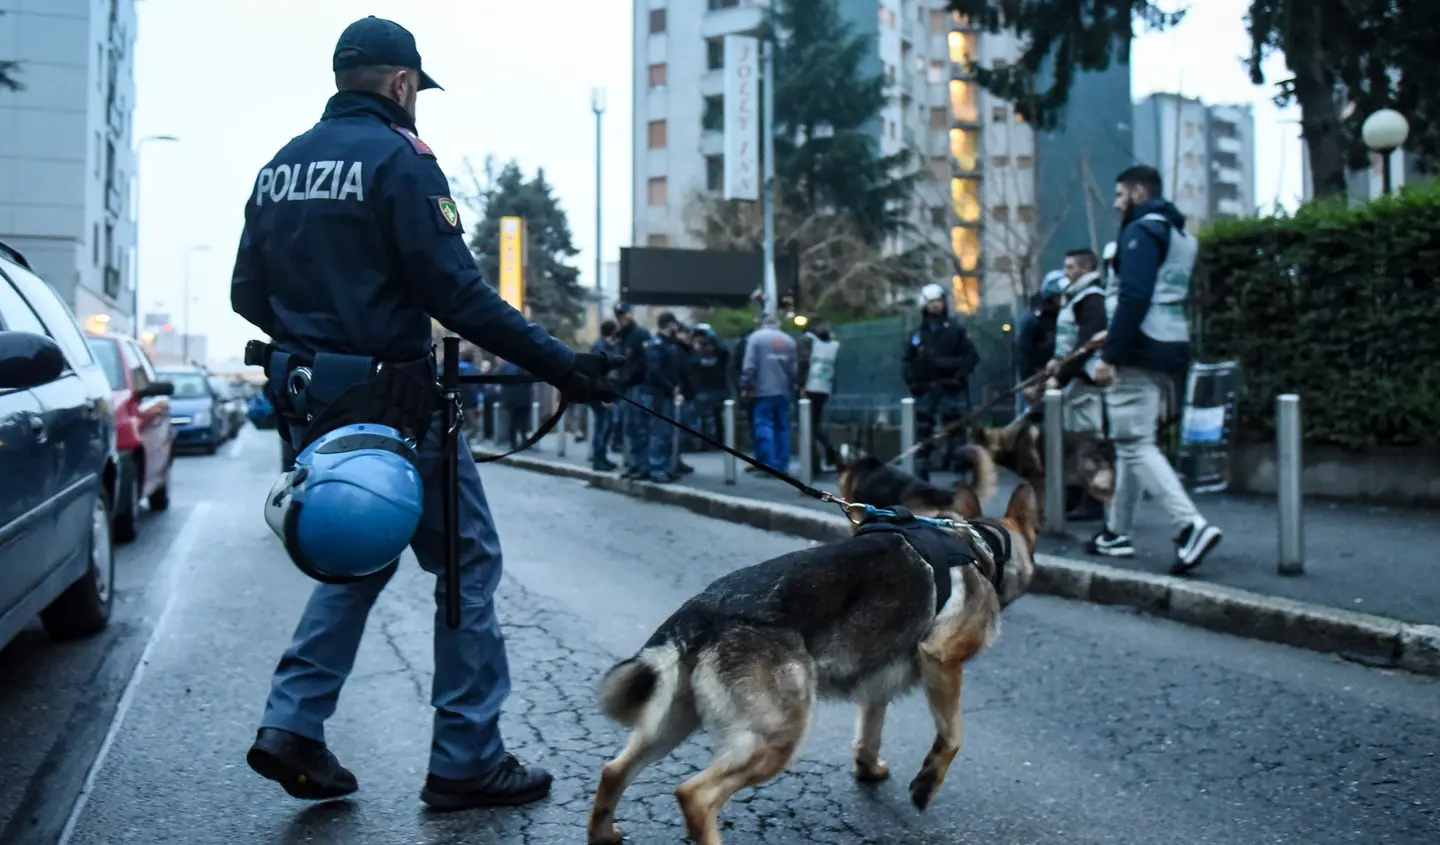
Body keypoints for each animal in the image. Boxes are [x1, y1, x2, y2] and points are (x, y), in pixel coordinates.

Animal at [581, 463, 1036, 845]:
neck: (981, 543)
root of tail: (701, 611)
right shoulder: (941, 660)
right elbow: (953, 735)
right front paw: (925, 785)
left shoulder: (877, 682)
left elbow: (870, 733)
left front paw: (868, 770)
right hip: (776, 736)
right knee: (693, 794)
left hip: (673, 722)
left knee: (613, 770)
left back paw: (602, 833)